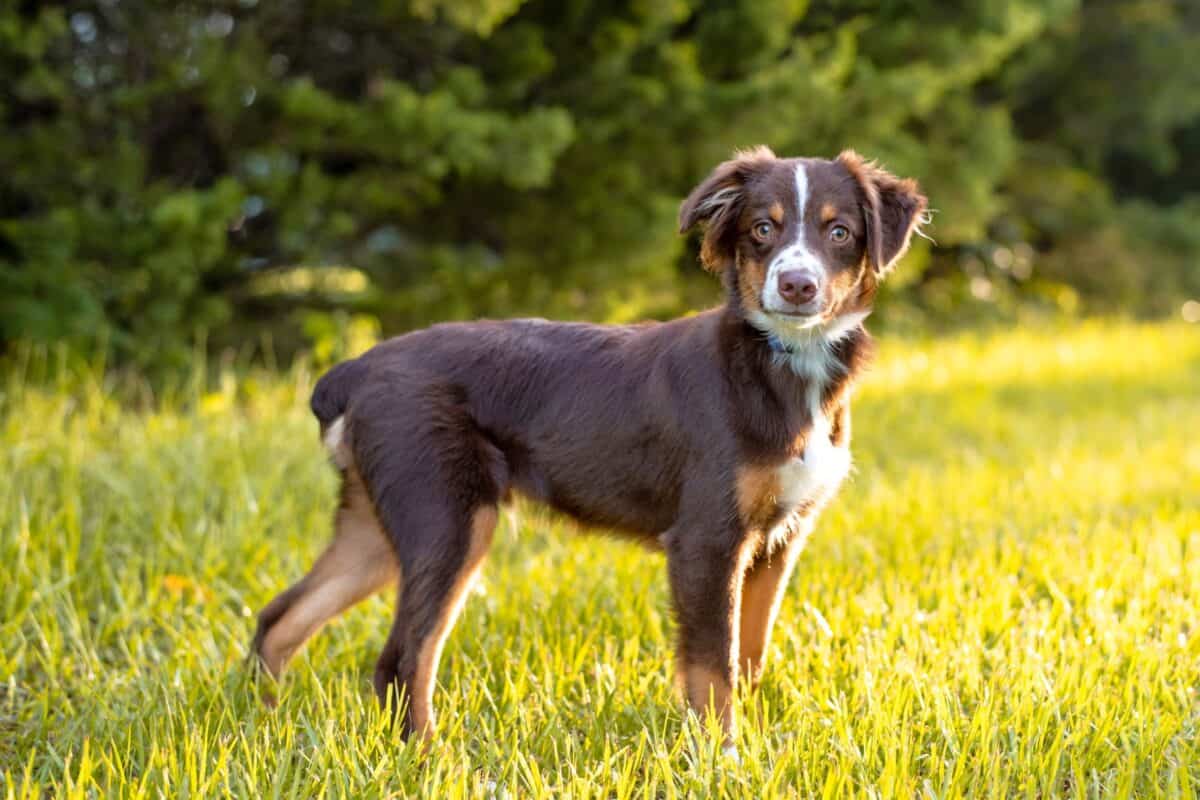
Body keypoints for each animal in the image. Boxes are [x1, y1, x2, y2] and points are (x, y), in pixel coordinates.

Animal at [250, 143, 926, 753]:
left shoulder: (779, 538)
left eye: (839, 231)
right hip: (449, 519)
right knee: (401, 659)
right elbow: (713, 666)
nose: (796, 286)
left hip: (379, 524)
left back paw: (264, 724)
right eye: (763, 229)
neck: (779, 365)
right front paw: (722, 758)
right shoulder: (706, 540)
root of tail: (358, 369)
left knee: (279, 620)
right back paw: (428, 759)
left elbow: (749, 654)